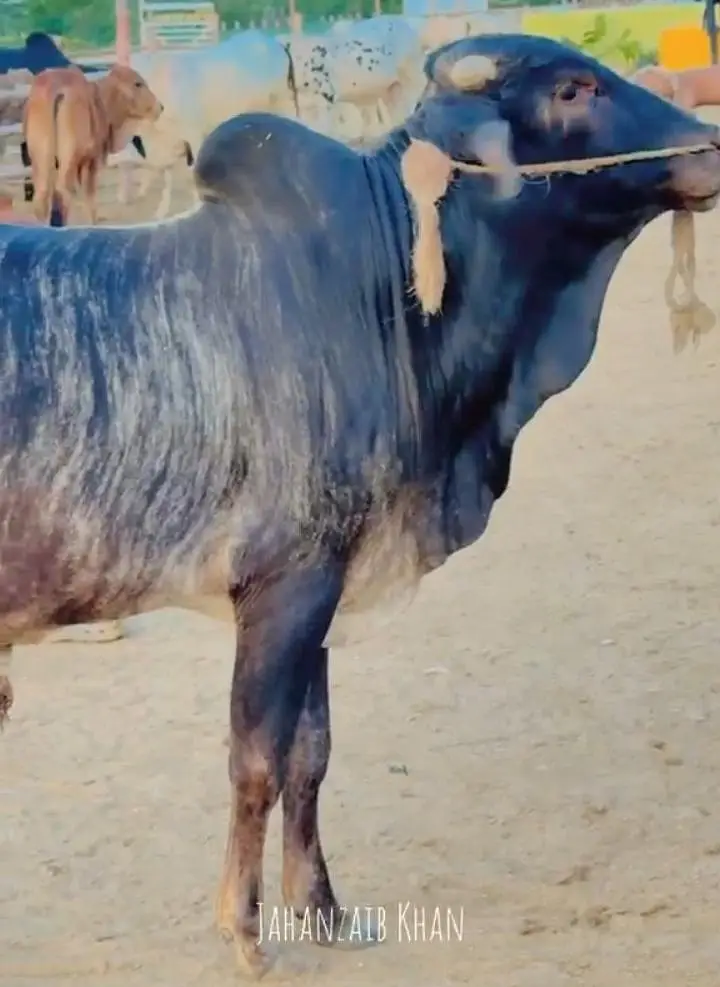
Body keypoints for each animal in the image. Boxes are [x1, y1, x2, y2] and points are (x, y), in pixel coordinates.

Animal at [22, 63, 163, 224]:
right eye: (137, 84)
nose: (161, 107)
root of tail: (56, 89)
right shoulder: (92, 160)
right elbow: (90, 194)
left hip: (41, 158)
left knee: (42, 195)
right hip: (70, 157)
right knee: (63, 190)